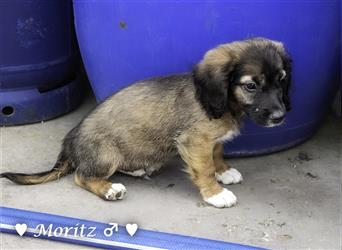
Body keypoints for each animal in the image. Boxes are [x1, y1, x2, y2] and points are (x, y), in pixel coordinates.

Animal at [2, 37, 292, 209]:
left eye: (281, 80)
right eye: (251, 86)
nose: (280, 117)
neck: (224, 104)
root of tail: (69, 142)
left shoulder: (211, 140)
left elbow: (217, 154)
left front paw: (224, 171)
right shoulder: (195, 141)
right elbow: (204, 168)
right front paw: (215, 193)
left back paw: (138, 169)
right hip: (106, 155)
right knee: (81, 176)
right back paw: (109, 189)